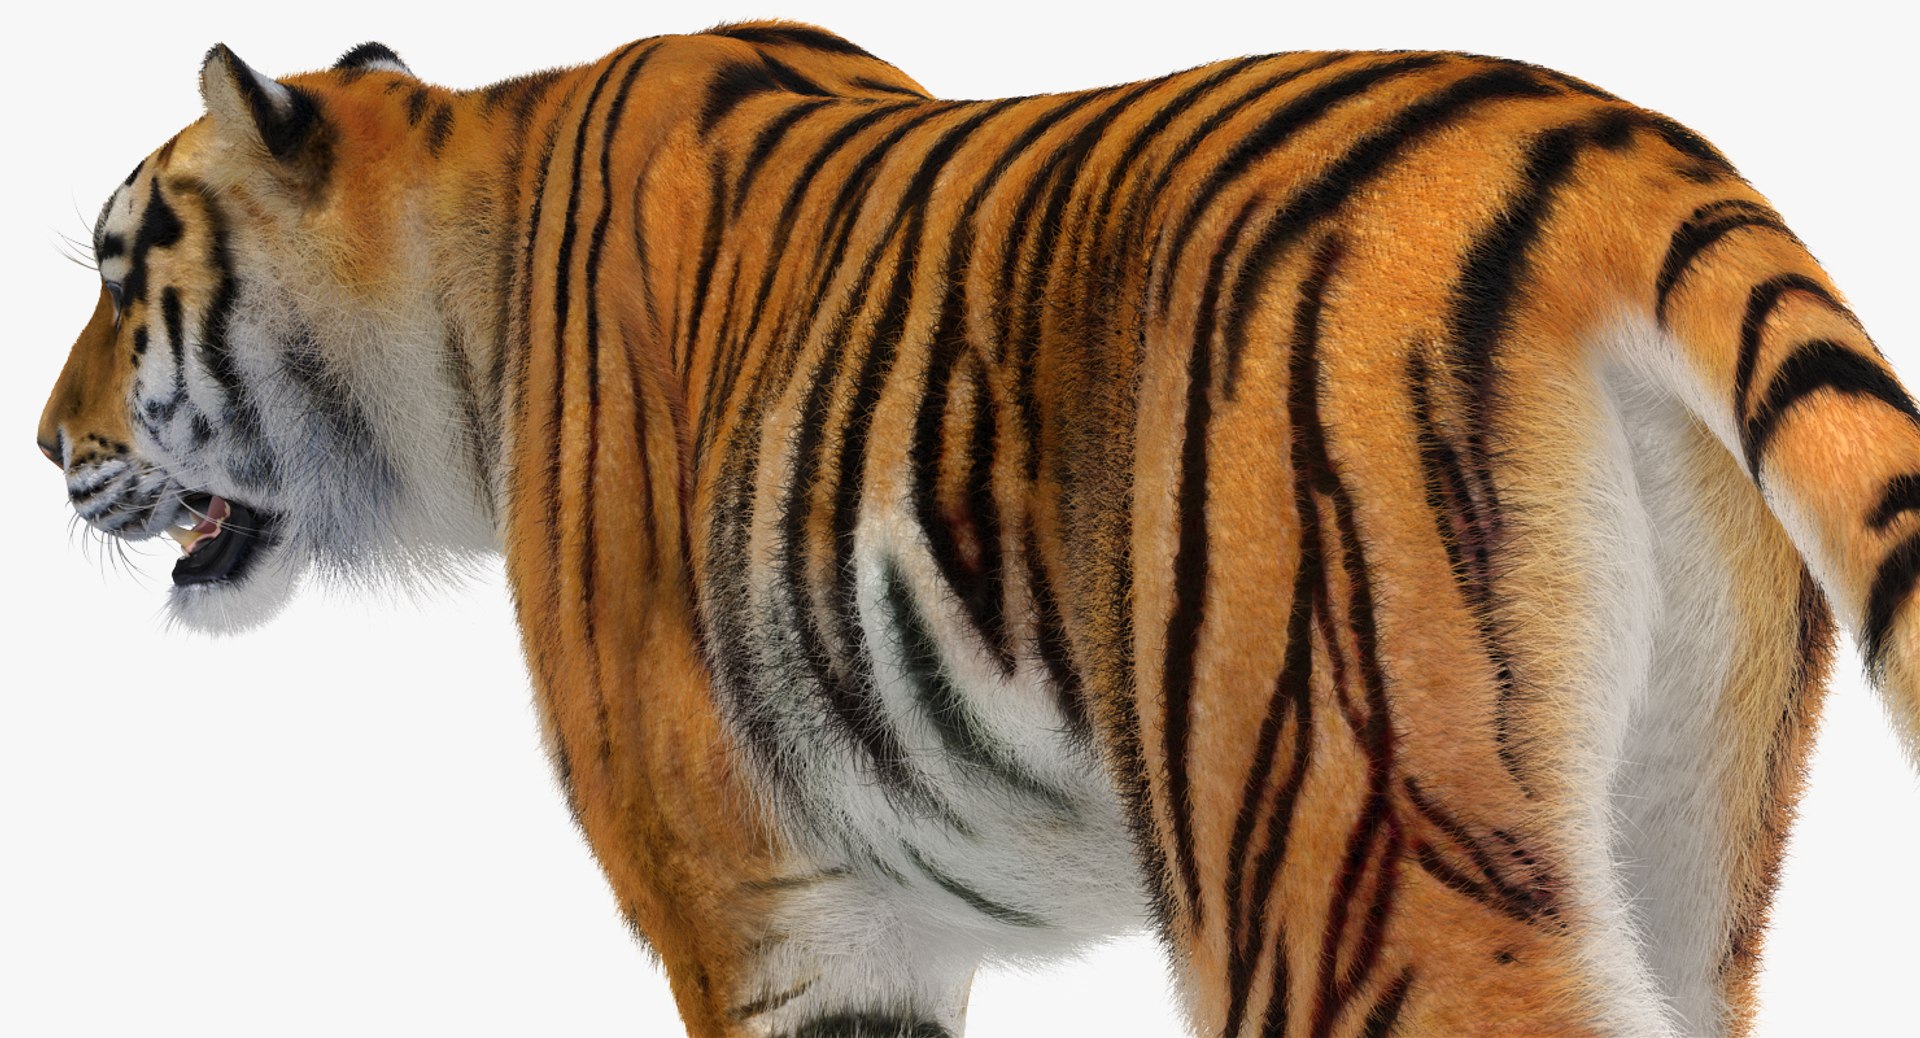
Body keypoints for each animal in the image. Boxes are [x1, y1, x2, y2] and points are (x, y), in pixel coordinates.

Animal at [34, 18, 1920, 1037]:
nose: (48, 448)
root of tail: (1627, 163)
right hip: (1679, 839)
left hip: (1350, 847)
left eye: (126, 278)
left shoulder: (766, 906)